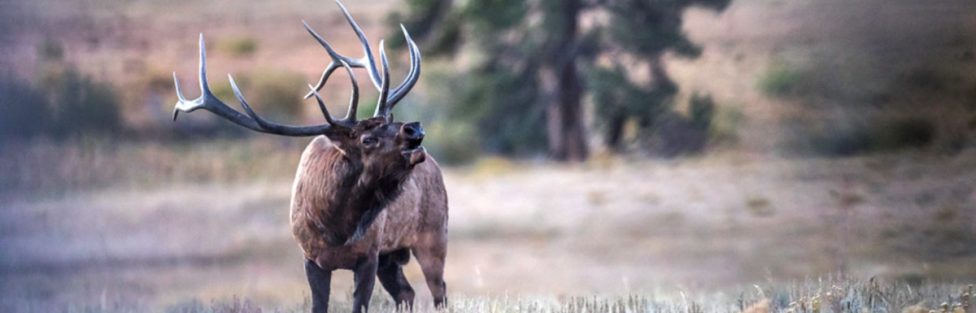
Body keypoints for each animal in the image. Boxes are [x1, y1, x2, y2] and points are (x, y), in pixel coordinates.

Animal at [171, 1, 450, 310]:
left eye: (390, 119)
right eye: (367, 139)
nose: (414, 128)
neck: (337, 228)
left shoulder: (369, 254)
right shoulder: (312, 258)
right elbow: (319, 305)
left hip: (433, 236)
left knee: (439, 292)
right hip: (393, 256)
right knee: (406, 293)